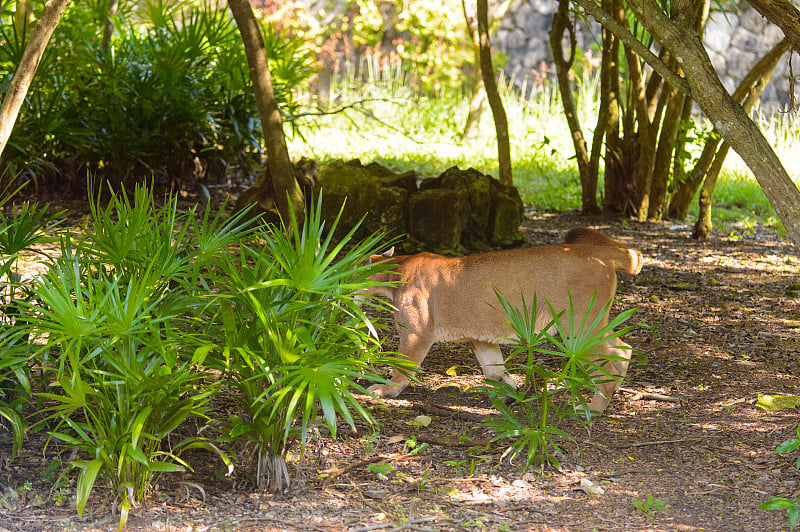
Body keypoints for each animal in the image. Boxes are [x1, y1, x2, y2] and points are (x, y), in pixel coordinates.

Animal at [362, 227, 644, 414]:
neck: (395, 270)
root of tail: (599, 253)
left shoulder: (416, 333)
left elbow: (402, 365)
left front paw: (385, 390)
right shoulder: (479, 337)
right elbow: (494, 368)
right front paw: (510, 392)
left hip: (577, 326)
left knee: (607, 366)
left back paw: (592, 409)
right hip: (592, 324)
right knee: (623, 348)